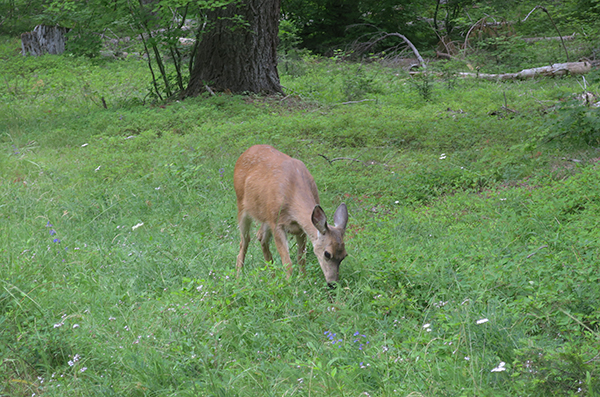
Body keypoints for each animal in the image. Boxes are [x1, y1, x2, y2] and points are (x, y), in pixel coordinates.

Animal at [233, 144, 350, 286]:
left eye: (344, 255)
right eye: (327, 254)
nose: (333, 283)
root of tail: (245, 153)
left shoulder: (301, 228)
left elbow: (301, 258)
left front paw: (302, 279)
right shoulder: (276, 223)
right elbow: (287, 262)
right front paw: (288, 284)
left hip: (265, 216)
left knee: (261, 237)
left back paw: (272, 278)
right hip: (242, 206)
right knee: (245, 241)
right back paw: (239, 277)